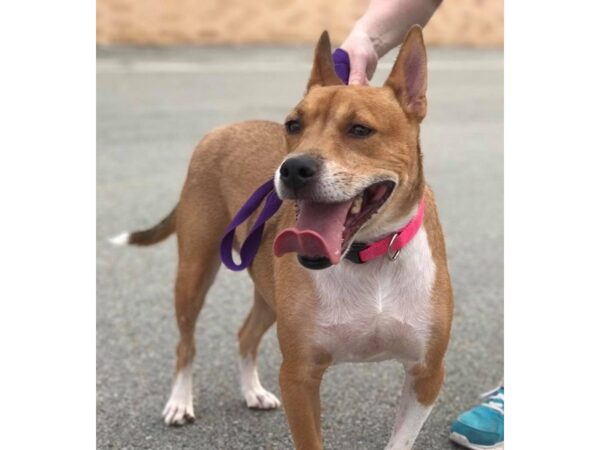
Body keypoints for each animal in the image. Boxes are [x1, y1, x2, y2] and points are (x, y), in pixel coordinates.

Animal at [111, 25, 450, 450]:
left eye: (360, 130)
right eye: (293, 125)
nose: (292, 168)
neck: (367, 258)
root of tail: (223, 129)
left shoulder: (426, 374)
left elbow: (400, 439)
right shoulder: (299, 377)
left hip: (266, 293)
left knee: (245, 334)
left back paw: (252, 391)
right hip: (194, 272)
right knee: (185, 343)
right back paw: (180, 401)